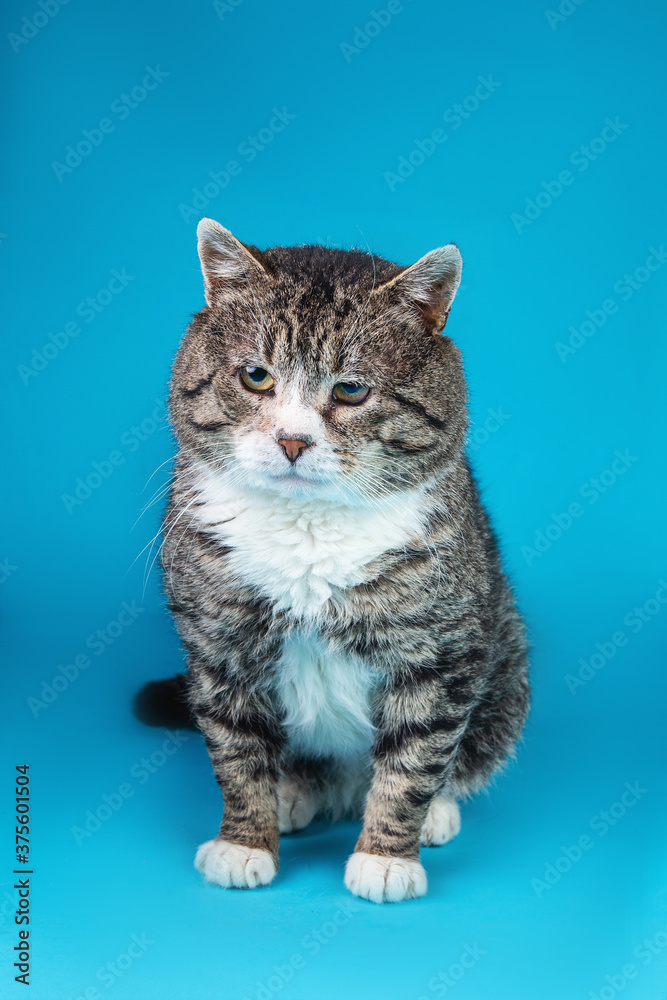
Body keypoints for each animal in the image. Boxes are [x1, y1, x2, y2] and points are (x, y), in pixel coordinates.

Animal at [136, 219, 528, 908]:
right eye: (256, 377)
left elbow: (415, 758)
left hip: (506, 667)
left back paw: (433, 812)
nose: (293, 440)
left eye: (351, 390)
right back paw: (295, 792)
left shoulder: (440, 653)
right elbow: (236, 755)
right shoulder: (219, 647)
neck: (308, 527)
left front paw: (388, 855)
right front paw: (246, 841)